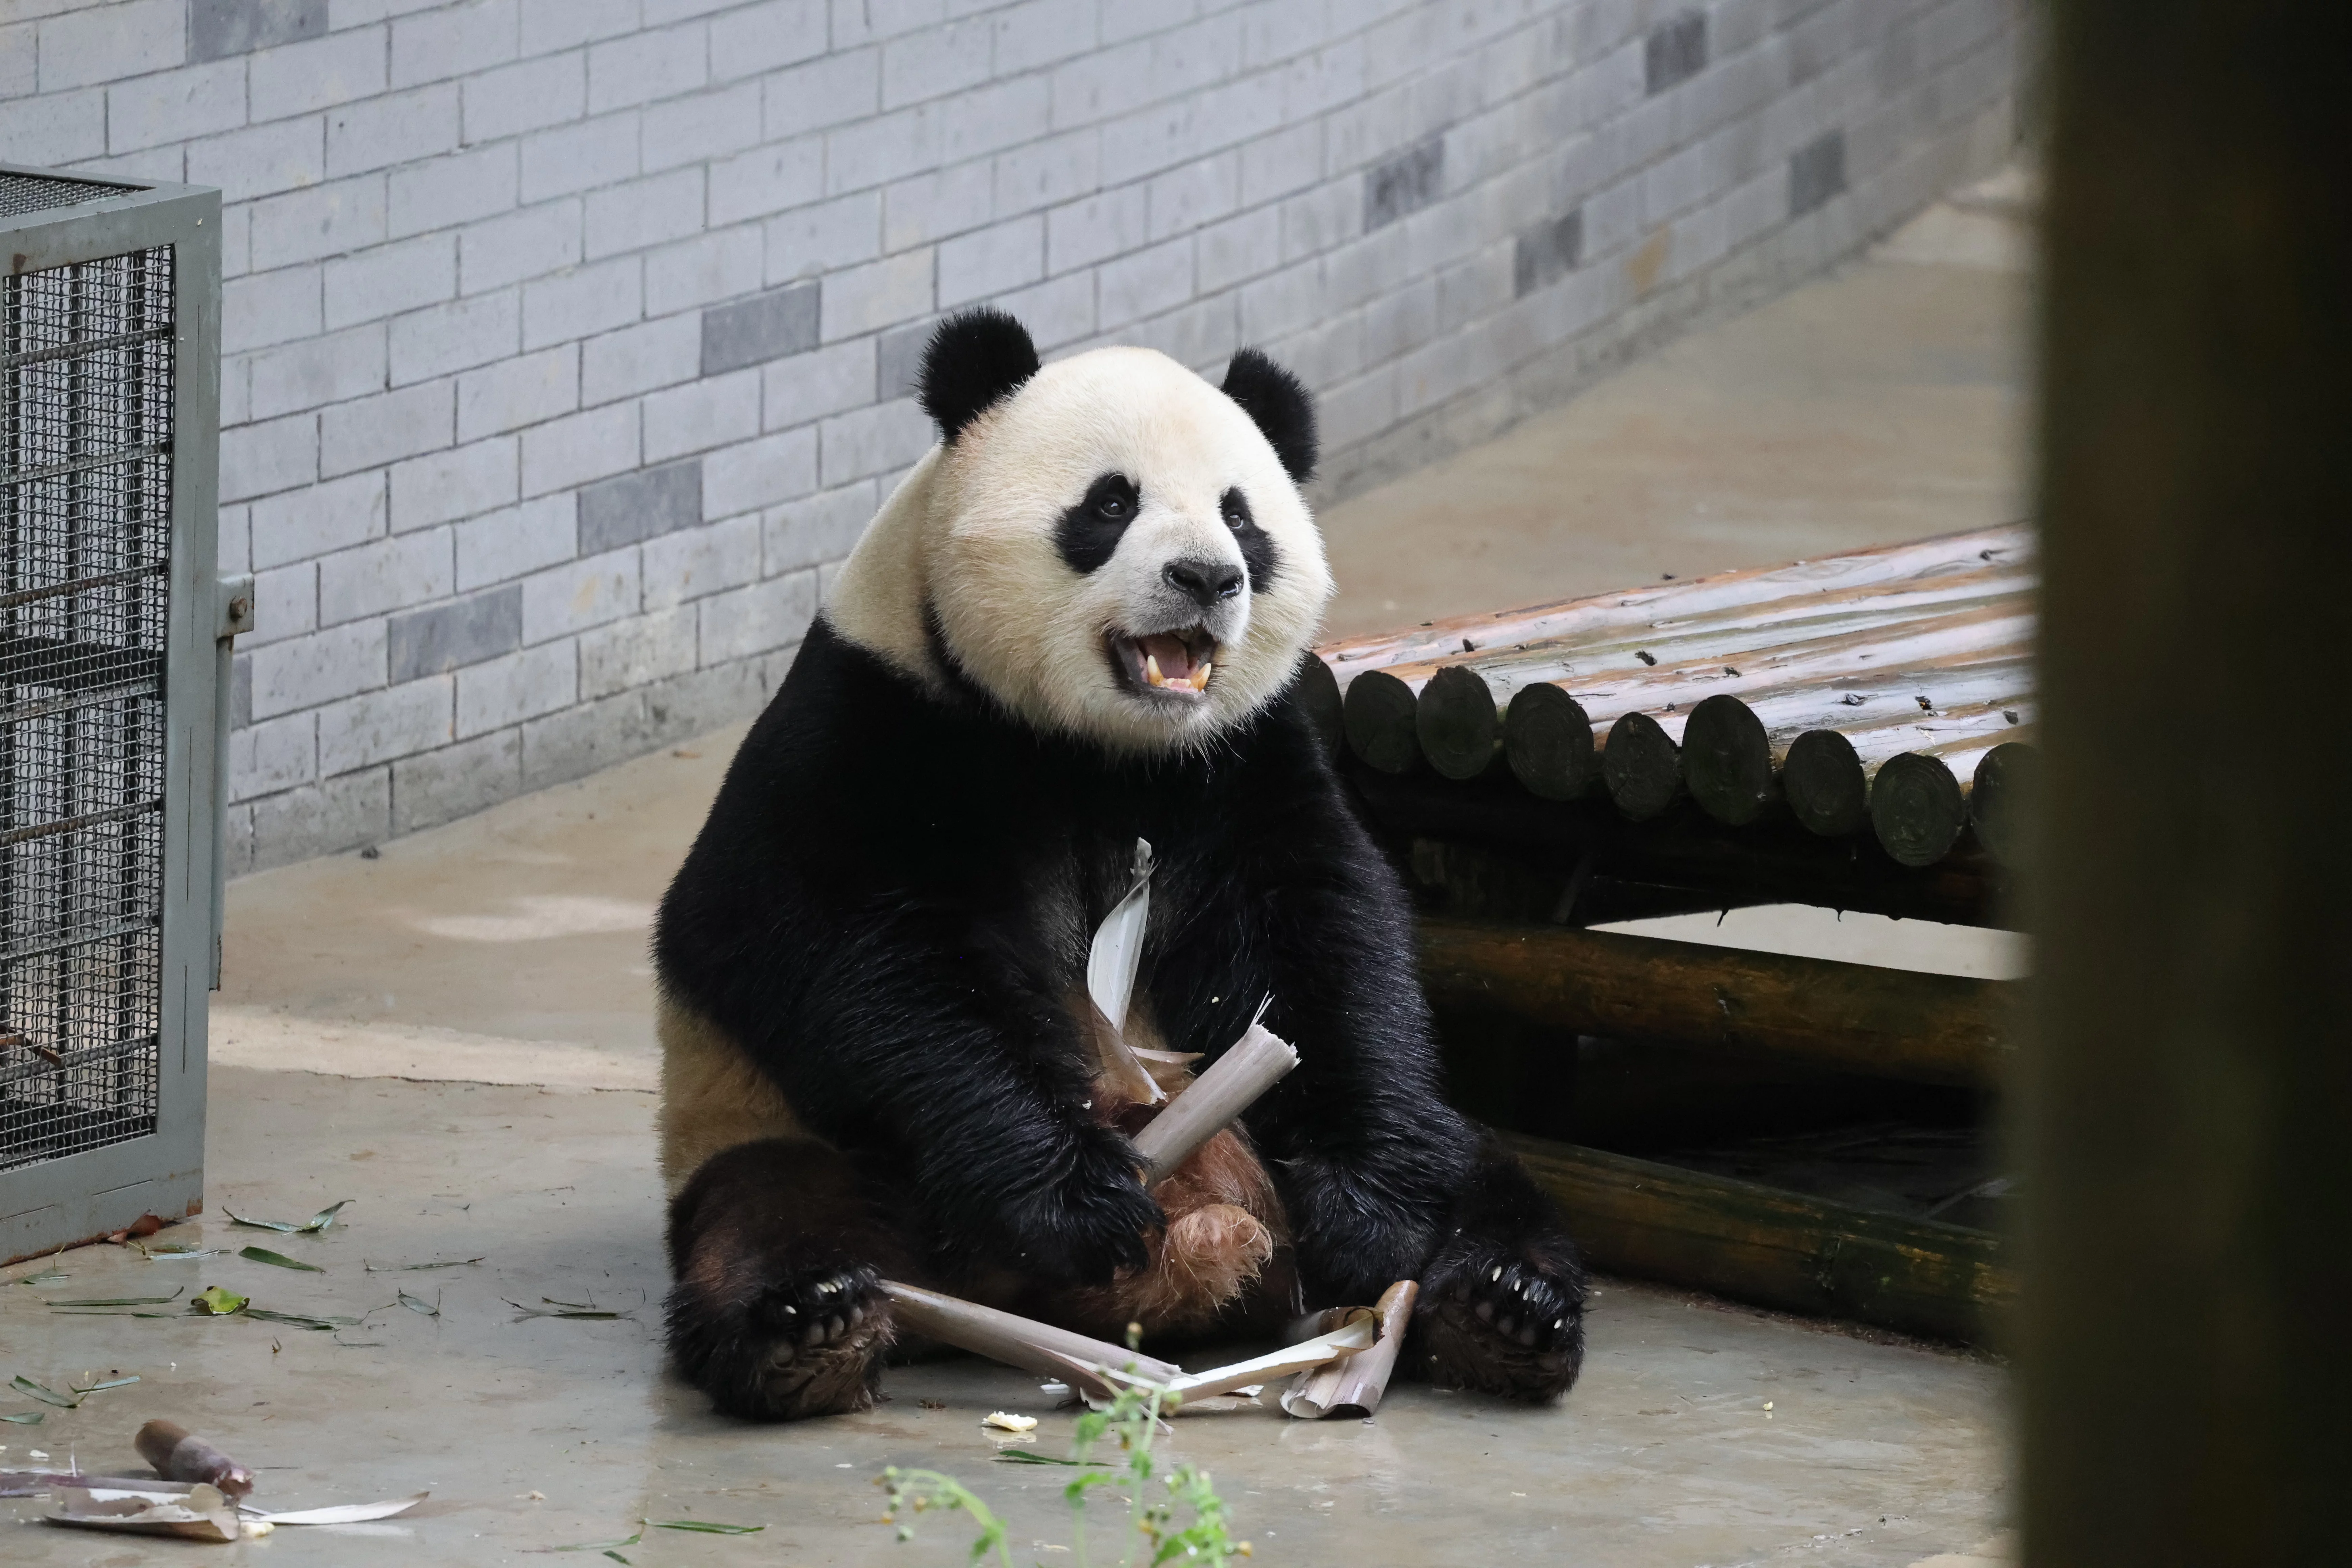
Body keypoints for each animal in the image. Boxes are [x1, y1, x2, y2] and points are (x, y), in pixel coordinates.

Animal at [652, 308, 1588, 1421]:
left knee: (1481, 1172)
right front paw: (1074, 1198)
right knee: (772, 1208)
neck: (1102, 744)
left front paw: (1366, 1210)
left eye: (1241, 517)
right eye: (1109, 502)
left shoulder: (1242, 763)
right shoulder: (877, 719)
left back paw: (1505, 1306)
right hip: (793, 1138)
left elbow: (1324, 942)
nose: (1207, 576)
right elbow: (847, 945)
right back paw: (812, 1327)